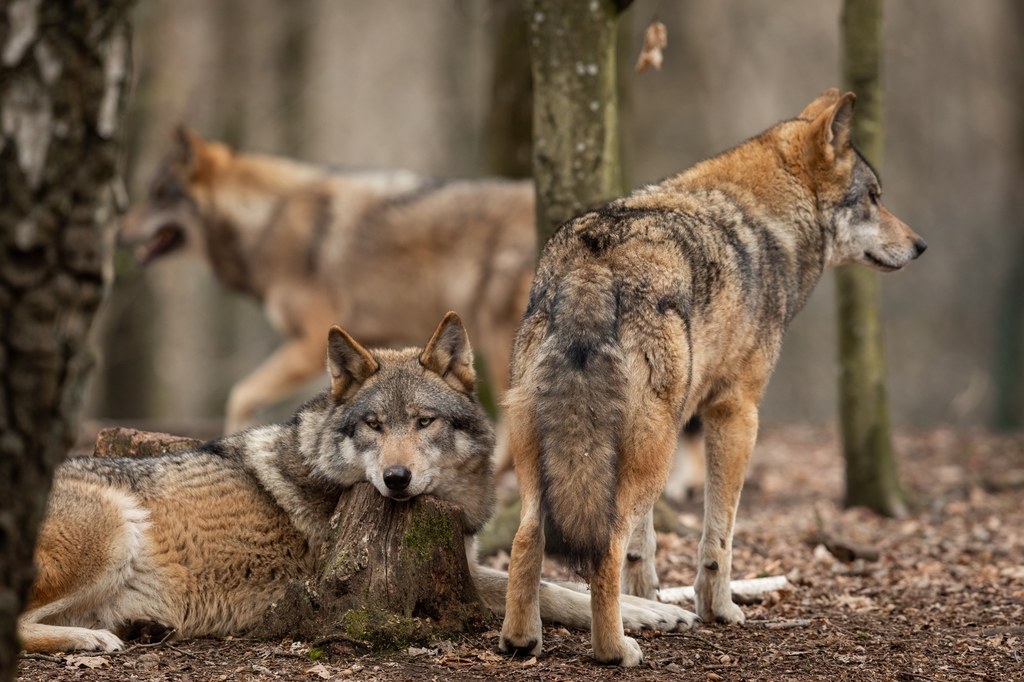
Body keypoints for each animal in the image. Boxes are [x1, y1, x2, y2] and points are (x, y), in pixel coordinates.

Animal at [18, 311, 696, 655]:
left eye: (422, 421)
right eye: (373, 425)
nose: (396, 480)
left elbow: (553, 585)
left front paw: (654, 610)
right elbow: (543, 590)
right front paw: (646, 613)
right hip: (111, 534)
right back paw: (91, 638)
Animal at [499, 89, 933, 663]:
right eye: (874, 198)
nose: (921, 245)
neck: (768, 224)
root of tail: (593, 262)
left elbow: (645, 544)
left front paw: (652, 600)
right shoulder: (736, 413)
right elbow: (719, 534)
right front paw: (718, 609)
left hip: (566, 448)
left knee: (527, 539)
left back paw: (521, 640)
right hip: (652, 446)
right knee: (604, 547)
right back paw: (615, 649)